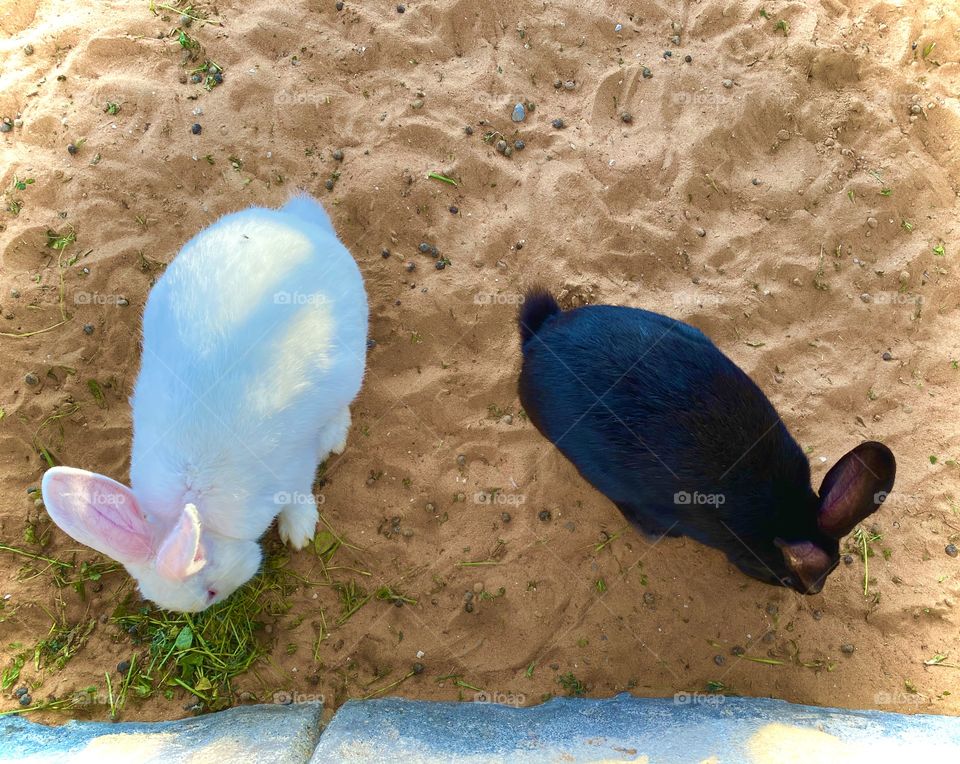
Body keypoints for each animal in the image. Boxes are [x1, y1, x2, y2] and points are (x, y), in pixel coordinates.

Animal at [41, 194, 368, 612]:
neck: (194, 505)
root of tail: (300, 223)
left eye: (210, 590)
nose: (213, 606)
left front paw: (299, 531)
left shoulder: (294, 467)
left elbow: (300, 493)